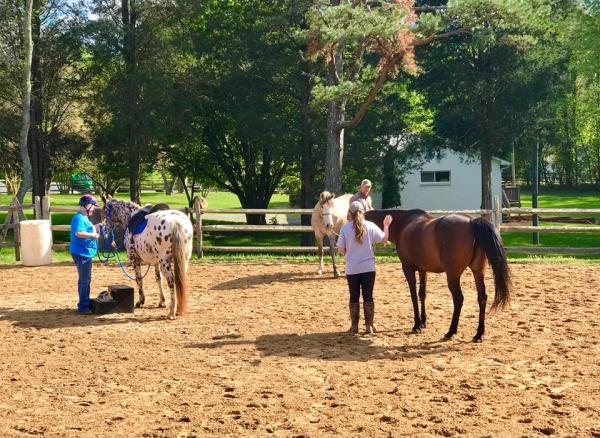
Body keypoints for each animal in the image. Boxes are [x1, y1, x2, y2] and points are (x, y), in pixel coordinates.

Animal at [366, 209, 510, 342]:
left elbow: (413, 295)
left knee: (458, 299)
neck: (403, 224)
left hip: (453, 275)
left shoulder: (407, 268)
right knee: (482, 297)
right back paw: (478, 334)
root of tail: (471, 222)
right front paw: (423, 322)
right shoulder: (423, 270)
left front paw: (416, 325)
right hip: (477, 271)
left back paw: (450, 332)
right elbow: (422, 294)